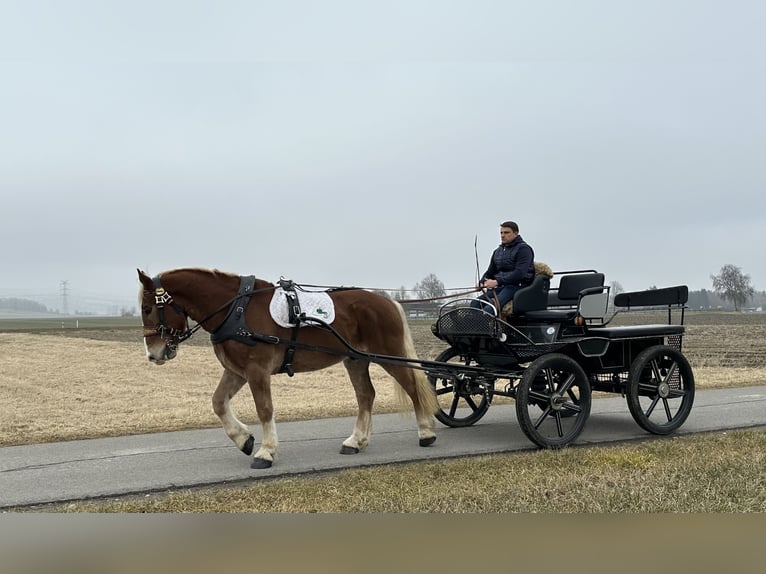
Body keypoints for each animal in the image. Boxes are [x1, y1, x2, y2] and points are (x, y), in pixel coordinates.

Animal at [137, 268, 438, 470]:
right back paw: (355, 441)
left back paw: (426, 432)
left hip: (389, 355)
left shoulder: (257, 370)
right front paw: (243, 440)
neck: (237, 309)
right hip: (356, 359)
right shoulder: (237, 371)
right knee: (366, 395)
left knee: (412, 387)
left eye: (148, 308)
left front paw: (266, 452)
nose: (153, 354)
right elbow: (218, 402)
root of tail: (387, 301)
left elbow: (264, 409)